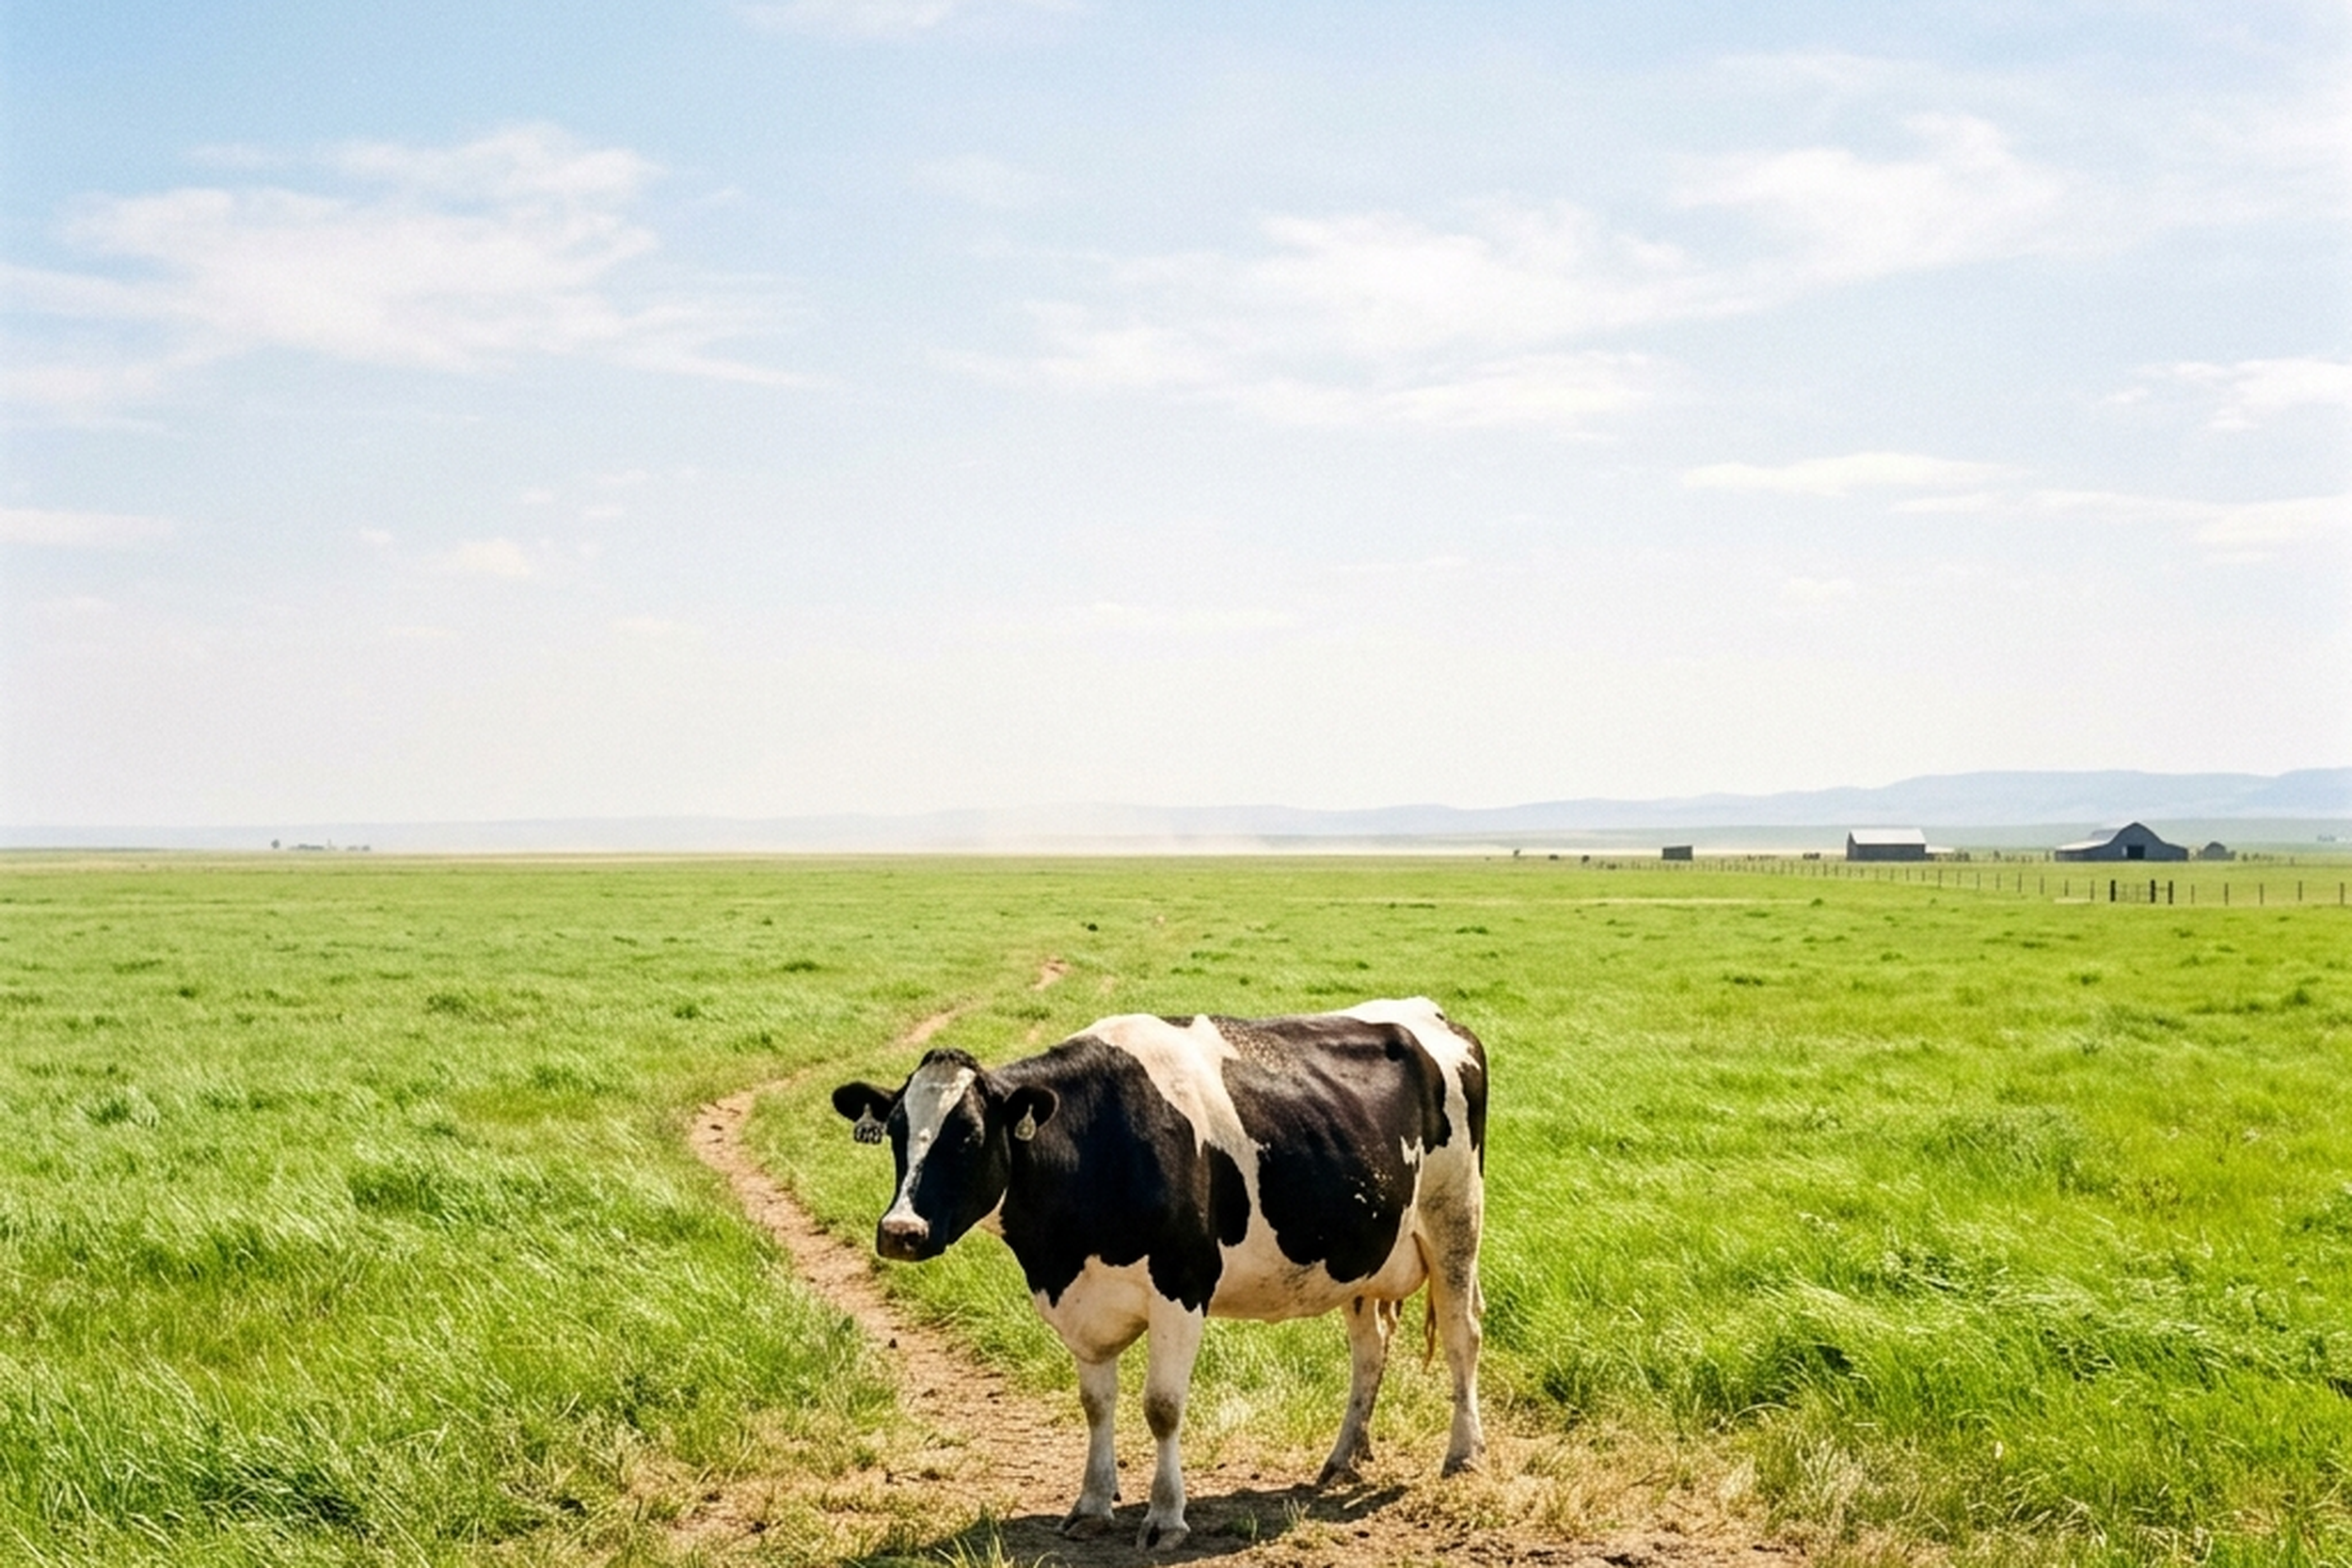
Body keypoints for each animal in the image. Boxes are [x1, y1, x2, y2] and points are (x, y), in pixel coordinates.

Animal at [830, 997, 1487, 1550]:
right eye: (893, 1133)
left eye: (968, 1135)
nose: (901, 1232)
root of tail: (1432, 1014)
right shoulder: (1082, 1300)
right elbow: (1096, 1404)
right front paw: (1091, 1505)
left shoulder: (1182, 1285)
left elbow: (1163, 1406)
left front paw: (1165, 1517)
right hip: (1363, 1255)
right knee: (1369, 1350)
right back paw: (1344, 1457)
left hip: (1455, 1222)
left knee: (1463, 1337)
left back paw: (1463, 1455)